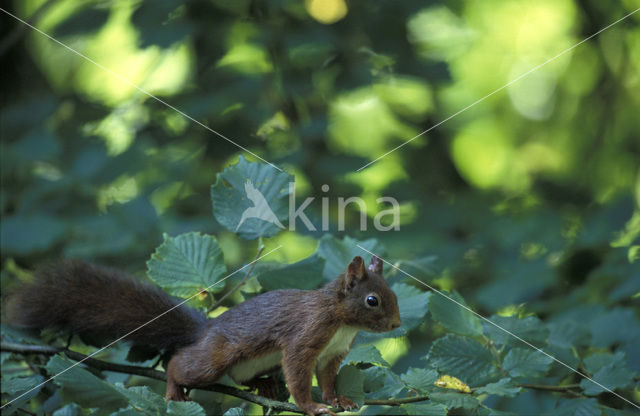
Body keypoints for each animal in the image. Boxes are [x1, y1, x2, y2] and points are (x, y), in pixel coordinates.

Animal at [6, 255, 400, 414]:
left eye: (393, 295)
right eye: (372, 300)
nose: (397, 325)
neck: (342, 322)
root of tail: (205, 330)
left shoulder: (333, 353)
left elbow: (328, 378)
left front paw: (340, 400)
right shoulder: (306, 336)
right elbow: (299, 373)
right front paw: (311, 406)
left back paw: (264, 387)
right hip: (216, 357)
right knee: (180, 363)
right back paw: (173, 389)